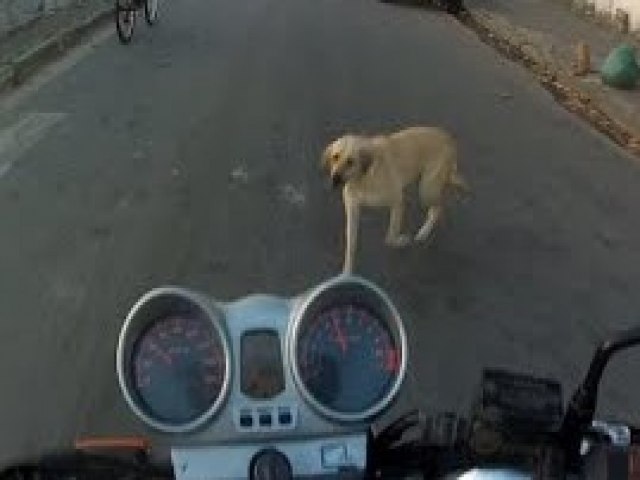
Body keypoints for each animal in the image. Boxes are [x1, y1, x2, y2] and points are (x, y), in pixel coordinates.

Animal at [322, 125, 468, 274]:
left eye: (350, 161)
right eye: (335, 157)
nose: (335, 179)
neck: (364, 177)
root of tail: (448, 138)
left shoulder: (397, 201)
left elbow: (390, 236)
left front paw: (399, 241)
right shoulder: (353, 210)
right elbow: (351, 244)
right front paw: (347, 271)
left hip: (426, 190)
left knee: (438, 207)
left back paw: (424, 232)